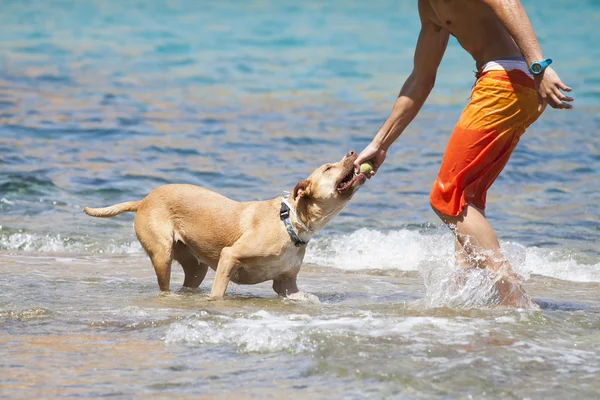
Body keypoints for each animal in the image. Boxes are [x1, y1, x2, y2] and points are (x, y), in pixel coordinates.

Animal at [84, 152, 366, 298]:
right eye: (328, 167)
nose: (353, 153)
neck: (291, 222)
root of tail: (144, 200)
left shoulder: (286, 282)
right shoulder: (229, 257)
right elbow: (218, 293)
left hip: (194, 266)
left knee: (190, 278)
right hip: (162, 253)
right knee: (164, 281)